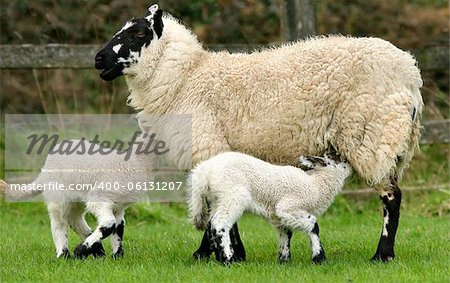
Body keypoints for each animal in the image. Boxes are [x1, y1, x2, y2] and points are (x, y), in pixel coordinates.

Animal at [188, 152, 354, 266]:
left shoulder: (278, 214)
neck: (316, 185)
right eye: (339, 158)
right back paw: (228, 259)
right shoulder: (288, 207)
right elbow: (313, 225)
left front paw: (284, 260)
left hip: (215, 199)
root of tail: (203, 172)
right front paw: (319, 257)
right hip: (232, 194)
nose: (351, 164)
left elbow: (286, 233)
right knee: (220, 224)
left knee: (211, 223)